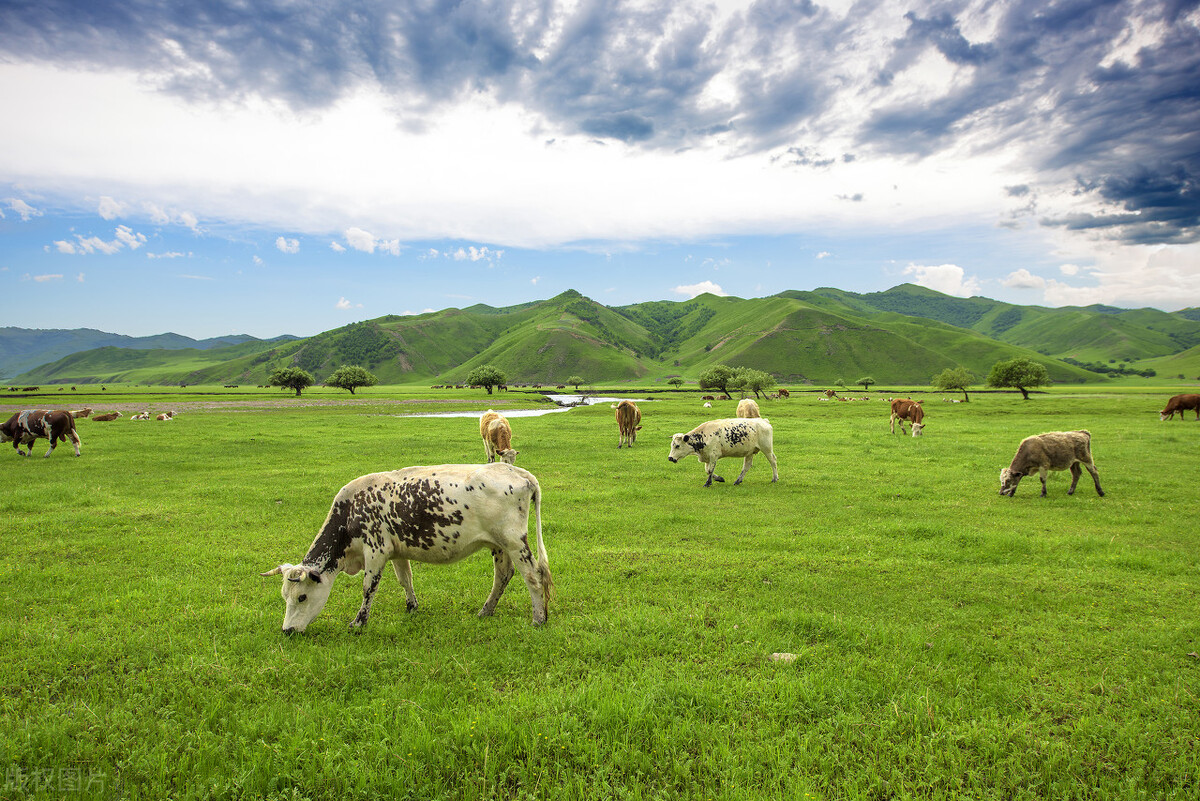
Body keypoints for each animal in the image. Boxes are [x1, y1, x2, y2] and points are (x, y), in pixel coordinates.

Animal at [262, 462, 552, 633]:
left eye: (302, 597)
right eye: (285, 596)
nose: (287, 630)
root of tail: (515, 471)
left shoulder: (375, 550)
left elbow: (368, 588)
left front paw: (359, 622)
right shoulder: (396, 552)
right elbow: (405, 579)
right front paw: (411, 606)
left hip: (515, 542)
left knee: (533, 576)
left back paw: (538, 619)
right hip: (499, 545)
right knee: (503, 576)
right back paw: (486, 611)